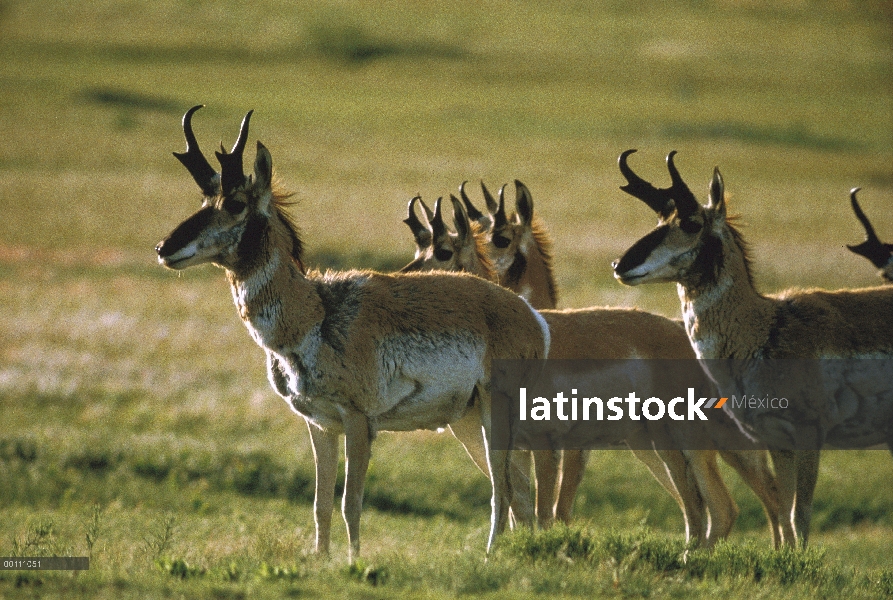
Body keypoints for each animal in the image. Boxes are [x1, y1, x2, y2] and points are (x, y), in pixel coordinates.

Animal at [153, 108, 552, 564]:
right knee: (518, 488)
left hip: (493, 411)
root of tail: (531, 317)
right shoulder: (320, 424)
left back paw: (491, 555)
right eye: (203, 201)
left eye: (235, 203)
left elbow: (351, 503)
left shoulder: (359, 421)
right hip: (466, 420)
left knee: (503, 489)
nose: (163, 248)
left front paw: (353, 563)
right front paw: (320, 560)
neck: (316, 314)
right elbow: (320, 503)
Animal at [398, 191, 780, 548]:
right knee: (717, 506)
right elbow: (520, 510)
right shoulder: (514, 452)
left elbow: (545, 513)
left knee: (752, 496)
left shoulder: (551, 447)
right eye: (419, 247)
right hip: (655, 448)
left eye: (443, 251)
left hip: (703, 443)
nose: (404, 280)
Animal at [616, 150, 893, 548]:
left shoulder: (809, 434)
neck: (766, 327)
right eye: (659, 218)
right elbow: (785, 513)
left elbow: (799, 515)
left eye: (691, 222)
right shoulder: (777, 442)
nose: (619, 265)